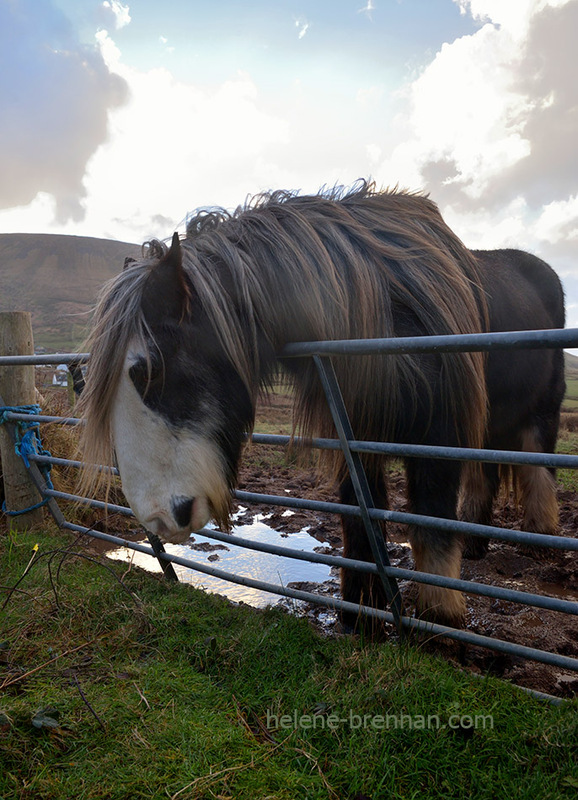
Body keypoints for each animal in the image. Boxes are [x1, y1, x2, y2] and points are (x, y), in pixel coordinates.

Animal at [79, 184, 564, 628]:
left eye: (146, 372)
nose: (156, 519)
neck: (382, 313)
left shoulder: (438, 437)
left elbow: (433, 524)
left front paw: (441, 620)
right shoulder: (354, 434)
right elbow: (360, 519)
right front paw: (361, 617)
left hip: (542, 411)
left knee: (537, 468)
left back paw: (540, 538)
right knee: (487, 472)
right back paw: (478, 542)